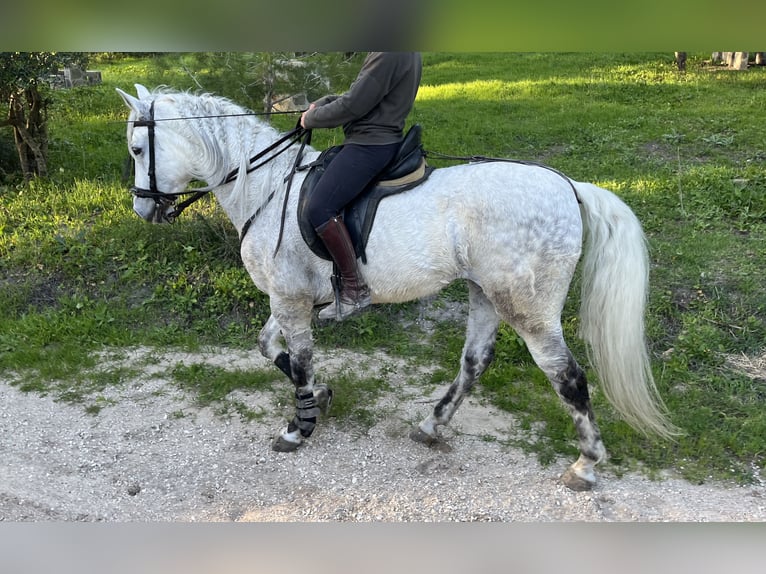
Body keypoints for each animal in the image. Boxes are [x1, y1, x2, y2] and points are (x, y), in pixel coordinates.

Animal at [117, 83, 676, 491]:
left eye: (139, 148)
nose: (145, 211)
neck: (267, 186)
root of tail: (568, 186)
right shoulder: (290, 297)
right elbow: (270, 347)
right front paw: (320, 396)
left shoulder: (290, 298)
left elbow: (298, 360)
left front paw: (299, 427)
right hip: (483, 293)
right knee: (475, 362)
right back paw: (432, 425)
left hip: (528, 308)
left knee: (568, 378)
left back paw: (586, 465)